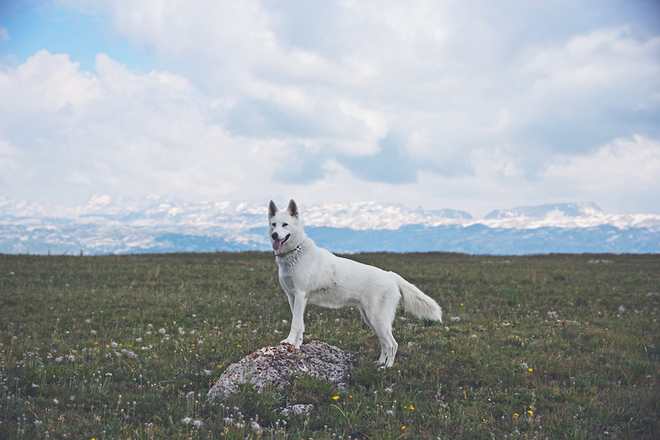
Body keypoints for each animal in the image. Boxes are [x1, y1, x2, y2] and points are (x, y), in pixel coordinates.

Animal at [268, 201, 444, 366]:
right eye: (273, 224)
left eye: (285, 224)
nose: (275, 235)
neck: (295, 252)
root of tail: (391, 275)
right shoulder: (293, 297)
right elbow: (300, 325)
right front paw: (297, 346)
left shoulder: (300, 295)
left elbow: (295, 324)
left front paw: (288, 342)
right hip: (371, 319)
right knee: (384, 344)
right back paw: (379, 364)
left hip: (377, 319)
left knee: (392, 344)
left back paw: (387, 368)